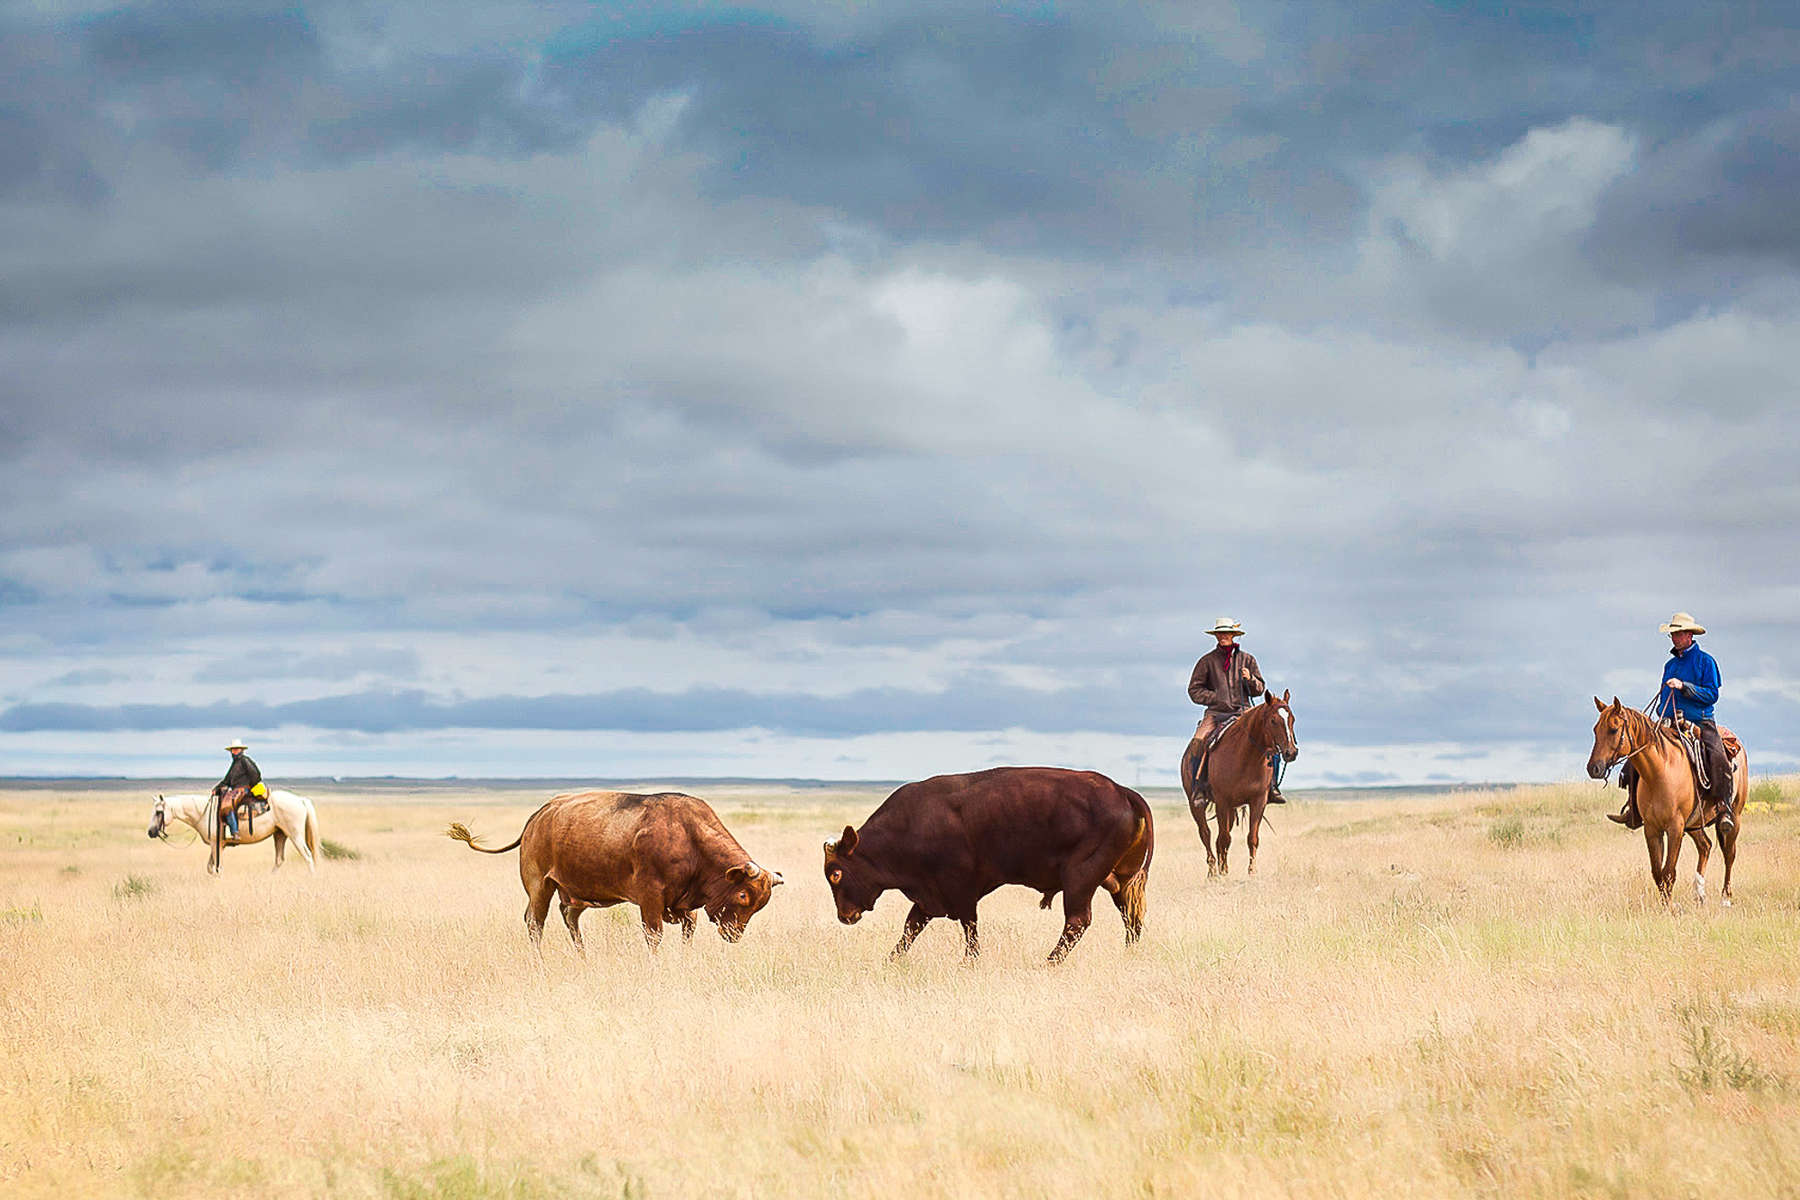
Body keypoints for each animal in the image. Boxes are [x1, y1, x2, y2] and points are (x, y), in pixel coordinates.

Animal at [147, 791, 320, 877]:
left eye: (159, 812)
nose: (150, 832)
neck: (205, 812)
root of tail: (301, 799)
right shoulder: (218, 845)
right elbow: (211, 868)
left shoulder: (216, 844)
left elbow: (217, 868)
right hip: (280, 835)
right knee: (279, 860)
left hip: (295, 835)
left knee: (307, 856)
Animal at [444, 791, 781, 949]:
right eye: (742, 895)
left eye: (760, 904)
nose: (734, 935)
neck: (688, 835)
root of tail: (542, 812)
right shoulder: (650, 899)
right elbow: (653, 936)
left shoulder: (686, 907)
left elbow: (688, 934)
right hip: (540, 885)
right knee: (534, 924)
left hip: (574, 895)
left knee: (570, 919)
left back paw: (583, 957)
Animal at [820, 770, 1144, 964]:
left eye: (836, 873)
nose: (845, 916)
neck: (910, 826)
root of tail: (1122, 791)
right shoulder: (927, 899)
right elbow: (909, 930)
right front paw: (889, 961)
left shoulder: (961, 894)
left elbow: (970, 928)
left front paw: (970, 962)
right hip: (1122, 884)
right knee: (1132, 919)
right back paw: (1128, 954)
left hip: (1079, 882)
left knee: (1077, 922)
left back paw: (1048, 962)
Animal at [1173, 694, 1303, 874]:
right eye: (1273, 721)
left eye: (1292, 719)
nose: (1291, 752)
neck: (1246, 757)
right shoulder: (1222, 801)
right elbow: (1224, 838)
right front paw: (1224, 872)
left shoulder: (1258, 801)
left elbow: (1252, 838)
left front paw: (1251, 873)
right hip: (1197, 806)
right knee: (1206, 833)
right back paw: (1213, 872)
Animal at [1591, 698, 1742, 906]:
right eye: (1595, 730)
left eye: (1613, 730)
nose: (1593, 768)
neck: (1659, 772)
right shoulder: (1652, 829)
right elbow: (1658, 872)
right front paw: (1665, 905)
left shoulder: (1675, 827)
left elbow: (1669, 871)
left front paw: (1670, 908)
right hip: (1694, 823)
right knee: (1705, 846)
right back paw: (1699, 893)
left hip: (1734, 817)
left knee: (1729, 854)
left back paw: (1725, 897)